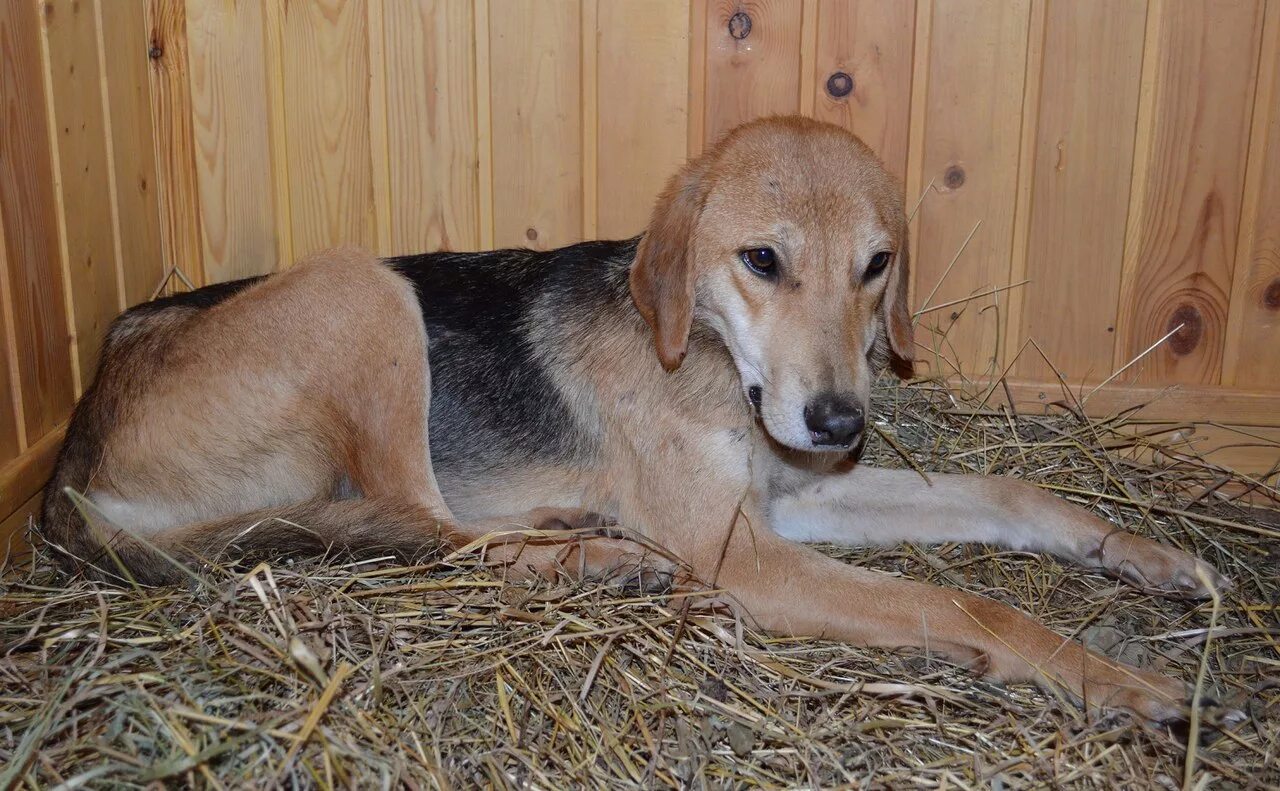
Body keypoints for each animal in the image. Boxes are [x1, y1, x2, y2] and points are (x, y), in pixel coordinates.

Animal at [42, 113, 1228, 721]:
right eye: (762, 259)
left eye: (876, 264)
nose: (839, 420)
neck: (703, 355)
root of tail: (69, 459)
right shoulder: (743, 551)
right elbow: (968, 605)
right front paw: (1114, 677)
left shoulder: (789, 502)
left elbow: (1010, 490)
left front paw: (1141, 555)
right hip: (364, 290)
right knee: (425, 530)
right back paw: (596, 560)